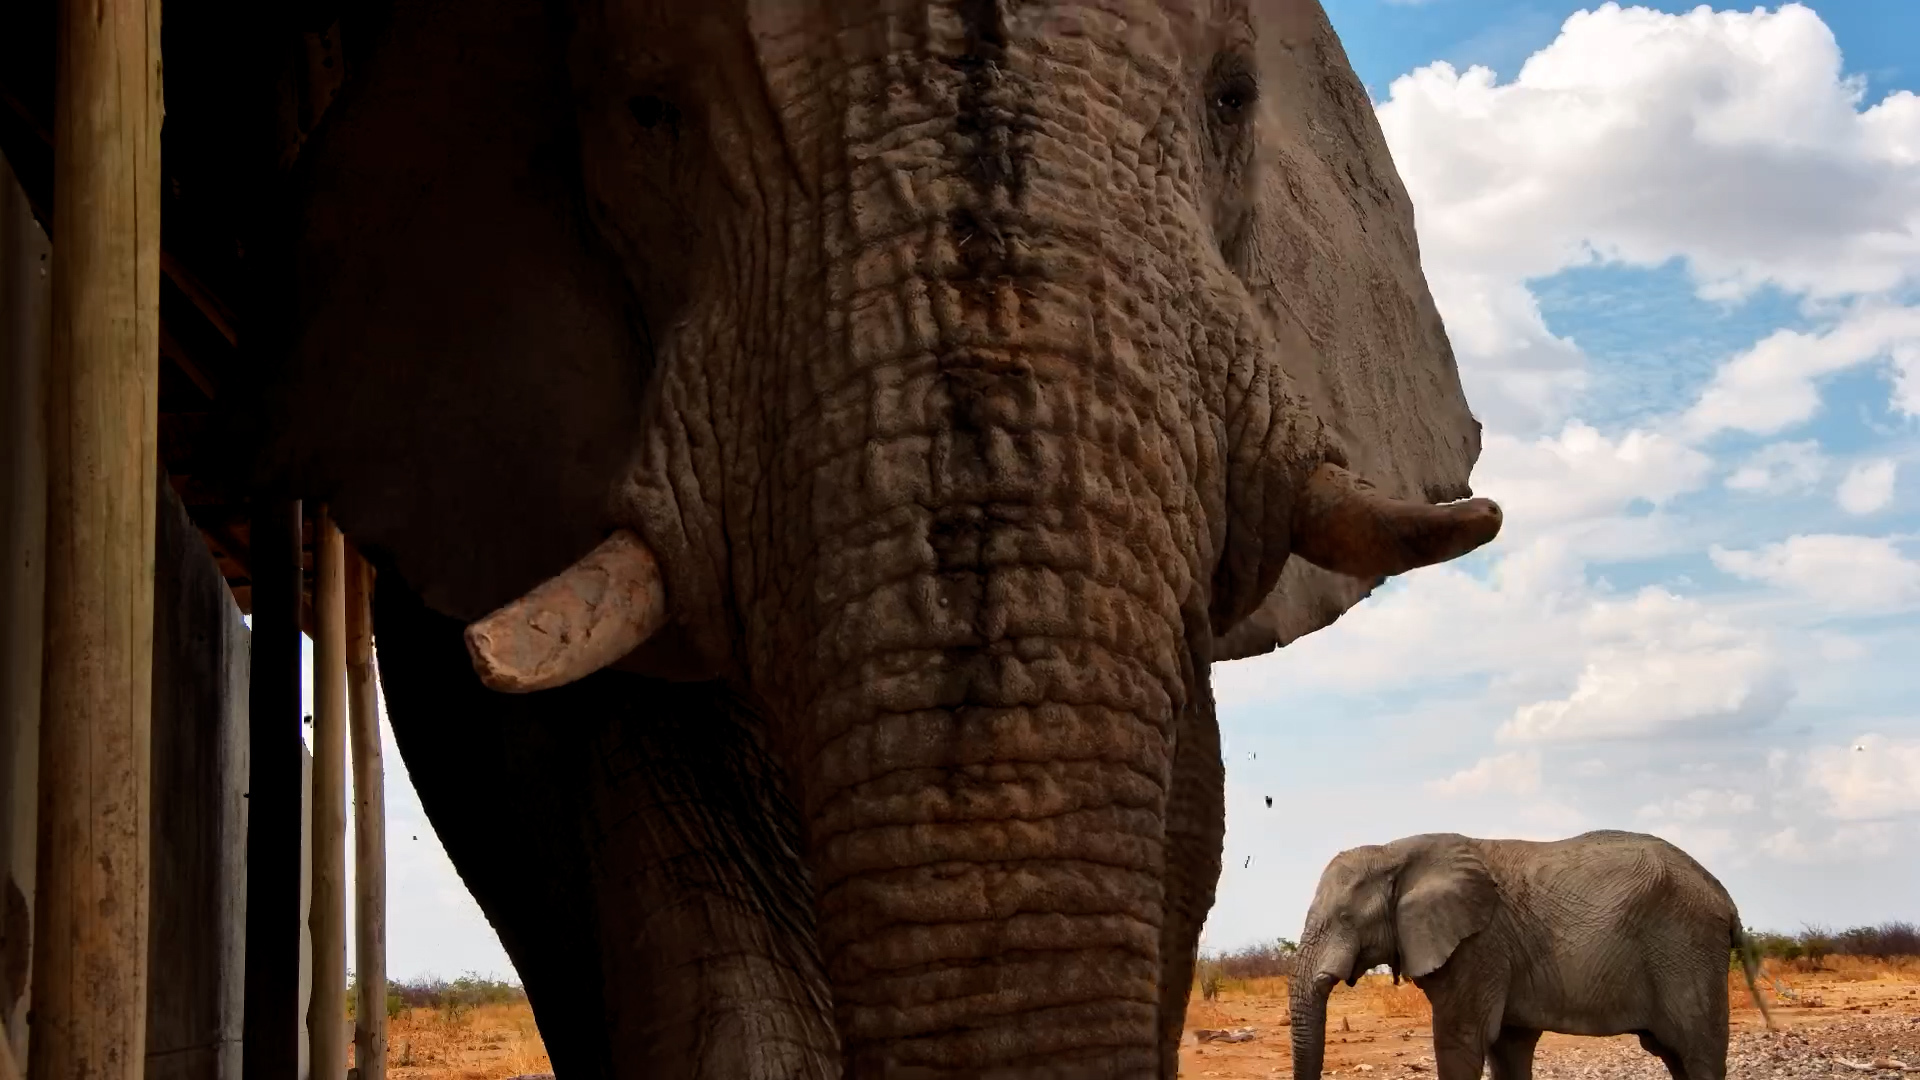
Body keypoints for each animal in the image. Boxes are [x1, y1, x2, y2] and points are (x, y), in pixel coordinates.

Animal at [1288, 830, 1775, 1080]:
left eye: (1345, 917)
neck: (1395, 851)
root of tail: (1725, 897)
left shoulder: (1479, 945)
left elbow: (1460, 1040)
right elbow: (1507, 1046)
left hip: (1687, 947)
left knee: (1698, 1053)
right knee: (1676, 1056)